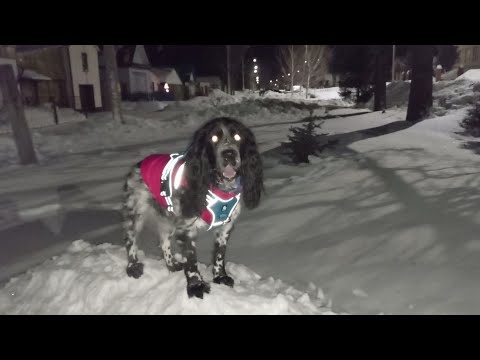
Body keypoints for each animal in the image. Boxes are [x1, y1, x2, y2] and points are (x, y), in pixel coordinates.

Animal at [122, 116, 264, 298]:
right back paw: (133, 266)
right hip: (136, 212)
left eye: (238, 137)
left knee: (163, 240)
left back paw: (172, 265)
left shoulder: (225, 227)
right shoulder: (186, 228)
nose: (229, 154)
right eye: (213, 138)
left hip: (168, 218)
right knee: (130, 240)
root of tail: (140, 163)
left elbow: (219, 254)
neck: (217, 185)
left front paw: (220, 277)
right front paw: (196, 286)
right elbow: (191, 261)